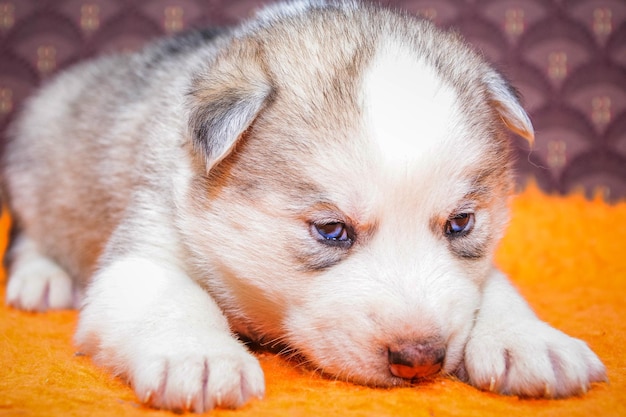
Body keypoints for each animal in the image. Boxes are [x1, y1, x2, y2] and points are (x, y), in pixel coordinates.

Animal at [0, 0, 604, 410]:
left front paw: (530, 339)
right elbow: (167, 294)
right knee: (29, 231)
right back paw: (40, 279)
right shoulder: (148, 242)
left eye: (461, 223)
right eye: (331, 231)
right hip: (37, 165)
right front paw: (199, 355)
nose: (421, 360)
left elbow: (492, 286)